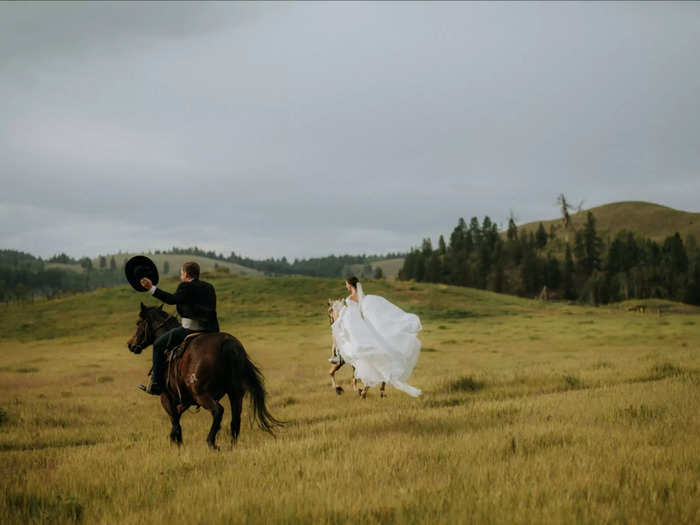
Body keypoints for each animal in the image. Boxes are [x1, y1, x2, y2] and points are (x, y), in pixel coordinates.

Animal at [127, 302, 280, 446]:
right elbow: (178, 416)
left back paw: (211, 442)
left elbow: (175, 420)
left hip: (203, 395)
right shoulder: (187, 399)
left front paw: (176, 442)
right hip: (235, 394)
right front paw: (175, 439)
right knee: (235, 420)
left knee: (218, 411)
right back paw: (232, 446)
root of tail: (227, 343)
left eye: (138, 323)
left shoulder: (166, 398)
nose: (130, 344)